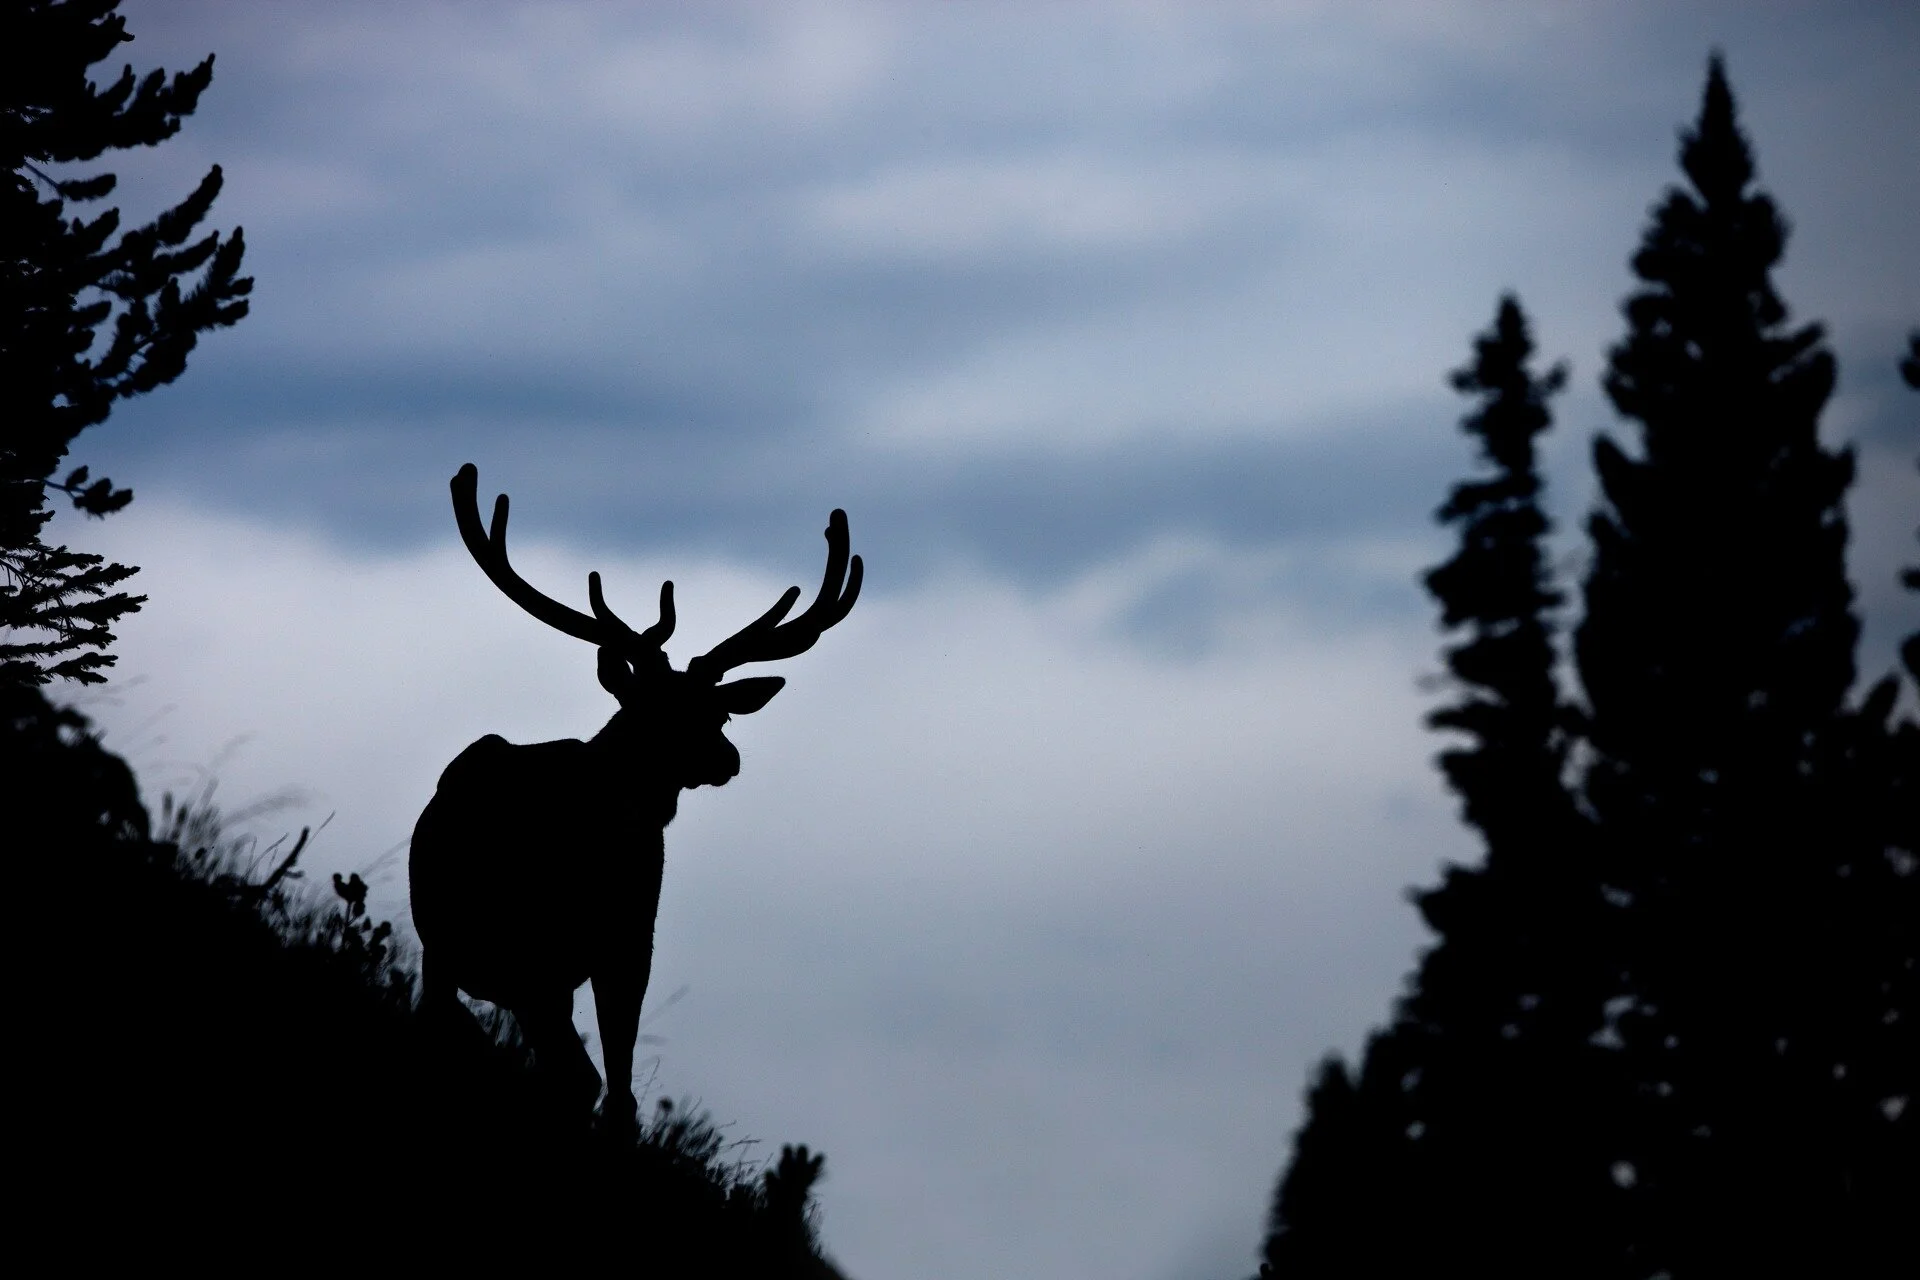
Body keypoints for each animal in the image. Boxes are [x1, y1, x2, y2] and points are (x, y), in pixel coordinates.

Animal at [409, 463, 861, 1129]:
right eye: (652, 710)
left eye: (720, 711)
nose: (726, 759)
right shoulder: (546, 955)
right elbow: (591, 1079)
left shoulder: (628, 942)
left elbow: (615, 1085)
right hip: (471, 950)